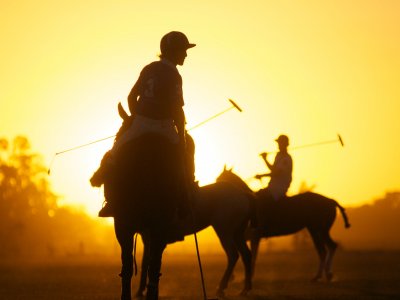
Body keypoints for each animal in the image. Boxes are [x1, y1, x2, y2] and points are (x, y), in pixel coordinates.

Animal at [216, 168, 350, 282]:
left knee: (329, 247)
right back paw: (321, 276)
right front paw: (233, 277)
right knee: (324, 249)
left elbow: (252, 256)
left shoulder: (255, 236)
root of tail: (331, 201)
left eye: (221, 178)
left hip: (321, 229)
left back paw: (326, 274)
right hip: (314, 229)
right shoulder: (245, 236)